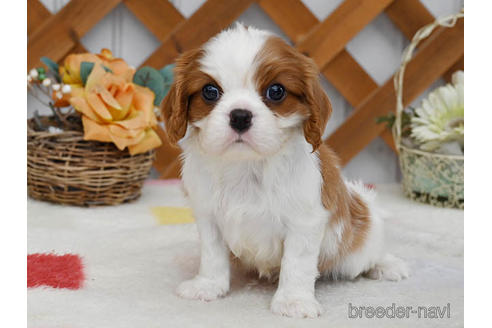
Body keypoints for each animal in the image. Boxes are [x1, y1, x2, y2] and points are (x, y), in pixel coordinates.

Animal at [161, 23, 408, 318]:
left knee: (370, 253)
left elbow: (296, 264)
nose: (240, 116)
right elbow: (212, 255)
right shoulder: (208, 217)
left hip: (362, 236)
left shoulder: (304, 222)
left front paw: (293, 301)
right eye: (210, 92)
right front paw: (208, 286)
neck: (246, 165)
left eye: (276, 91)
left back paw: (387, 265)